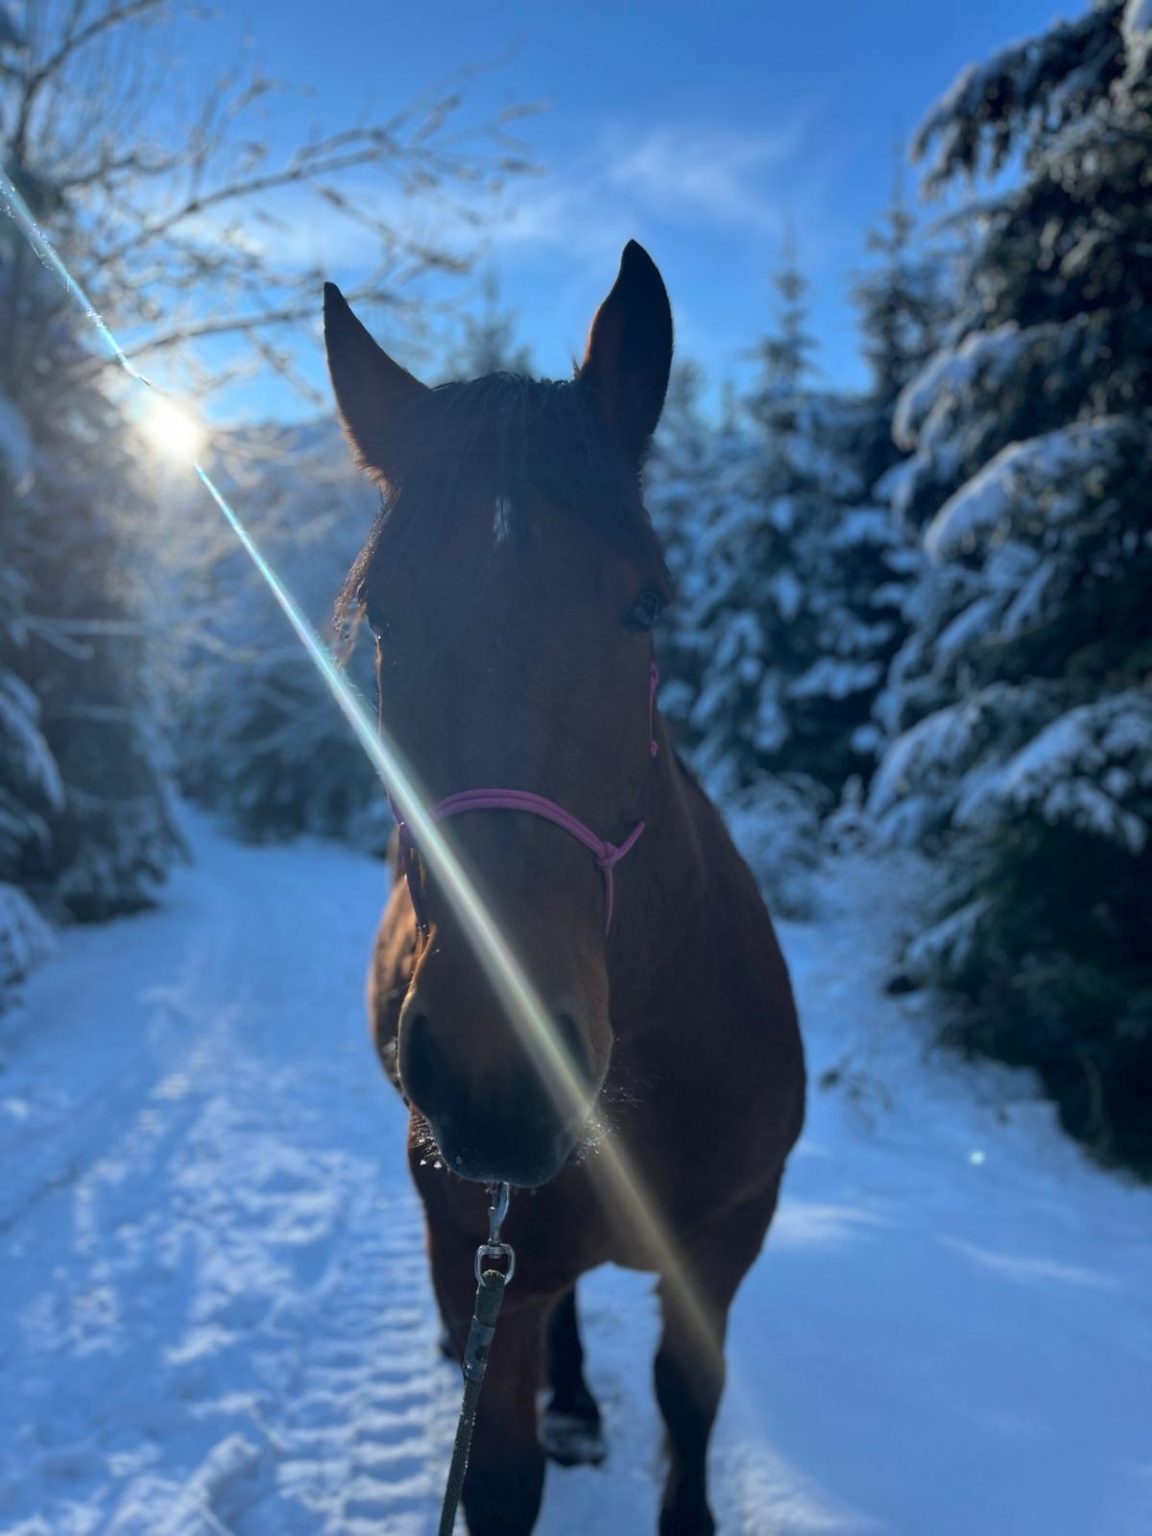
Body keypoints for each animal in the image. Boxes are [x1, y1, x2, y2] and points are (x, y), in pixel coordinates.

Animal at [323, 241, 806, 1536]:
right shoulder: (481, 1250)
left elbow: (691, 1398)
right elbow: (498, 1477)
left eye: (645, 603)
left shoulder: (728, 1245)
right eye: (382, 615)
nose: (498, 1070)